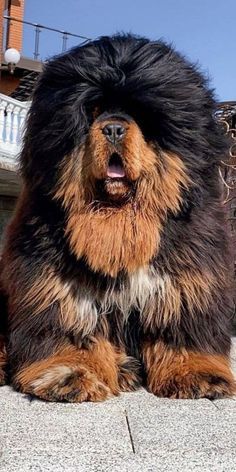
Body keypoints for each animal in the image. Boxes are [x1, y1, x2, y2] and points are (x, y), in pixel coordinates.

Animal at [0, 35, 236, 400]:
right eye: (92, 112)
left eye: (139, 114)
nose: (112, 128)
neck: (120, 216)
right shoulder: (62, 288)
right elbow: (71, 332)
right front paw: (70, 373)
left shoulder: (186, 281)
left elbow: (180, 330)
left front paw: (197, 373)